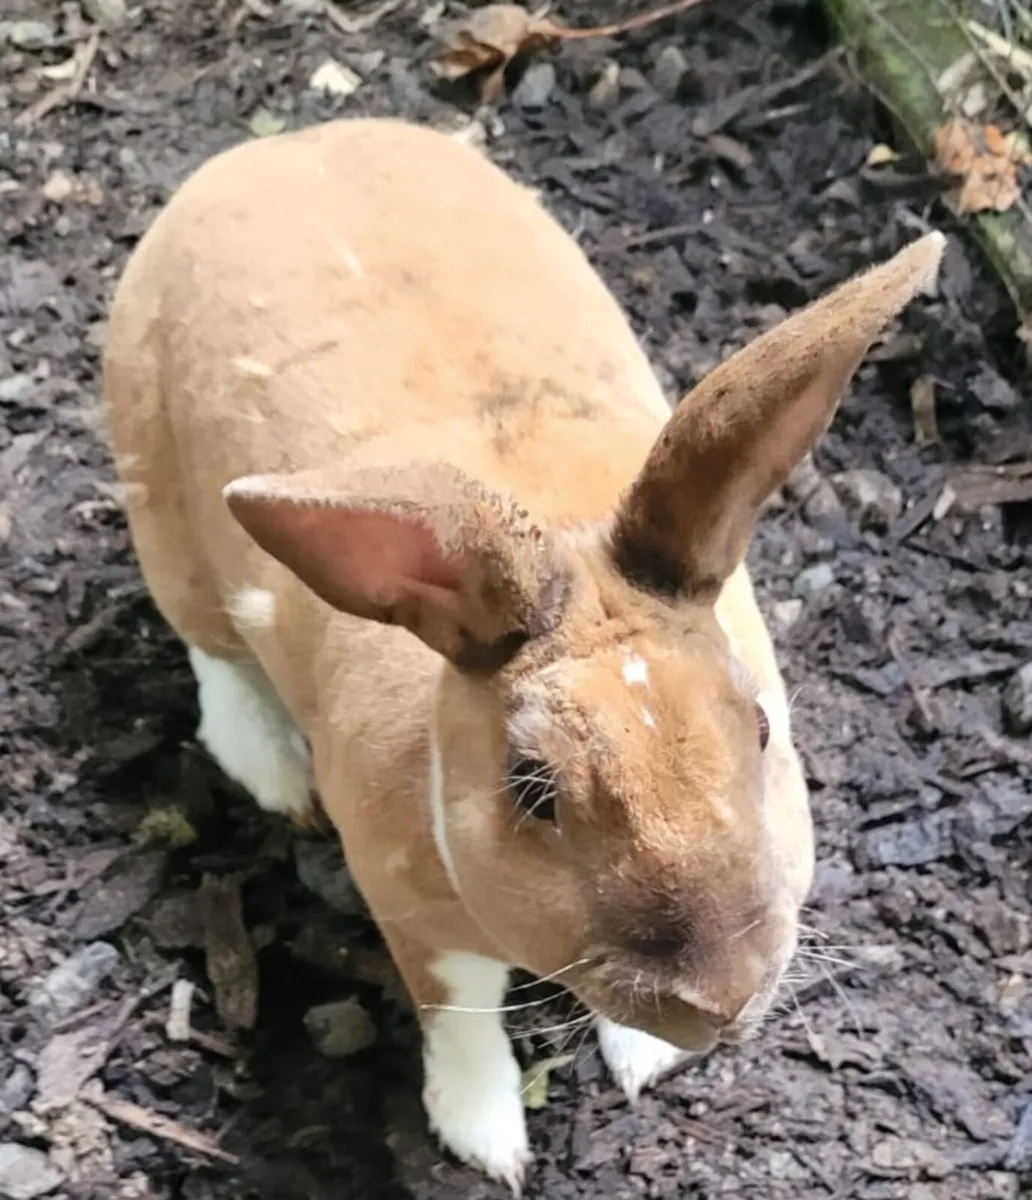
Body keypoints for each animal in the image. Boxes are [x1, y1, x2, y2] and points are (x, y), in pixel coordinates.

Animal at [102, 115, 944, 1190]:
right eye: (533, 789)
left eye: (760, 727)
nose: (724, 998)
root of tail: (282, 145)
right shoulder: (414, 919)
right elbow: (460, 1014)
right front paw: (486, 1138)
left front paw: (643, 1057)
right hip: (160, 507)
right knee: (208, 646)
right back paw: (271, 767)